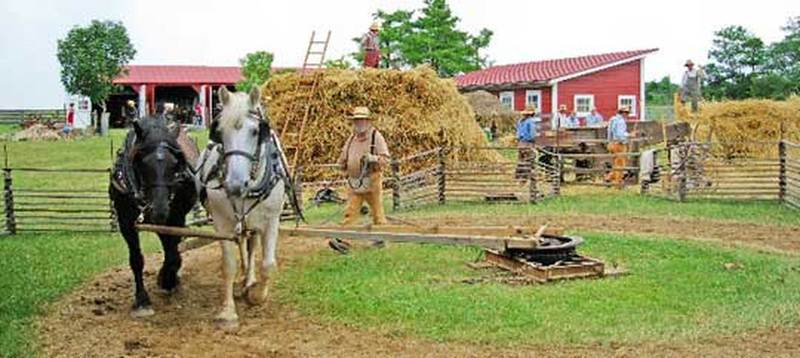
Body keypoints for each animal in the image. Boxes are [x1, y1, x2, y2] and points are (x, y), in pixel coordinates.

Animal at [110, 116, 198, 318]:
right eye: (142, 162)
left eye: (175, 164)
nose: (159, 209)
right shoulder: (126, 222)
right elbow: (136, 259)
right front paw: (142, 300)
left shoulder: (175, 218)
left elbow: (172, 253)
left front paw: (167, 280)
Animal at [197, 86, 288, 330]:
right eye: (219, 131)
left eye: (256, 131)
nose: (235, 185)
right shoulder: (222, 223)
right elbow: (228, 265)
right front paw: (228, 313)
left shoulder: (272, 219)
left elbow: (268, 264)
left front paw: (256, 296)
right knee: (242, 245)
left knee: (252, 245)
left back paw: (249, 279)